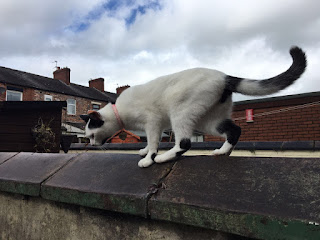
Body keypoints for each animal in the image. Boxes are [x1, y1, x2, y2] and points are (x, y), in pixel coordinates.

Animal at [81, 46, 306, 168]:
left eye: (91, 136)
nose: (92, 145)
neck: (119, 111)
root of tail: (224, 76)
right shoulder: (158, 125)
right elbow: (152, 142)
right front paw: (144, 150)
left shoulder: (153, 122)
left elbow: (154, 143)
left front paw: (148, 158)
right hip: (209, 120)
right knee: (235, 130)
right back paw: (222, 152)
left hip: (180, 112)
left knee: (185, 143)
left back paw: (164, 158)